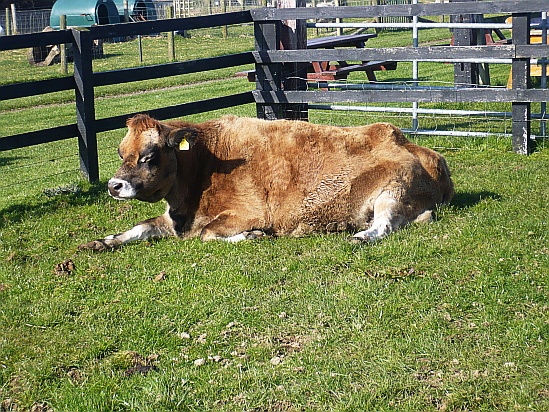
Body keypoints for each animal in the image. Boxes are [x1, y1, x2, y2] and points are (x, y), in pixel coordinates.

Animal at [79, 114, 452, 253]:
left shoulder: (248, 212)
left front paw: (252, 236)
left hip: (392, 190)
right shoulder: (176, 219)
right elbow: (140, 227)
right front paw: (103, 241)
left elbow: (208, 234)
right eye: (121, 152)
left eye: (150, 155)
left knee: (386, 224)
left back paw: (362, 235)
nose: (114, 185)